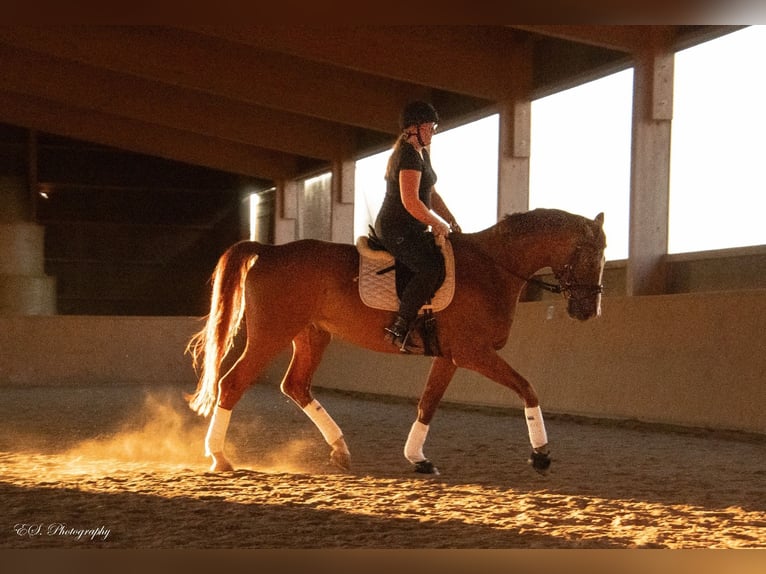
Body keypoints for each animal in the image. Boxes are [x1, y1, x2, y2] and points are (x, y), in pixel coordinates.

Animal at [186, 208, 608, 476]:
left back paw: (340, 450)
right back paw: (220, 457)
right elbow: (527, 388)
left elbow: (428, 403)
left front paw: (417, 458)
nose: (588, 311)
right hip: (272, 334)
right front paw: (541, 455)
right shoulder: (473, 353)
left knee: (296, 386)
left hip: (311, 334)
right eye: (591, 254)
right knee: (232, 384)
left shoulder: (451, 357)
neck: (492, 268)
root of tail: (270, 250)